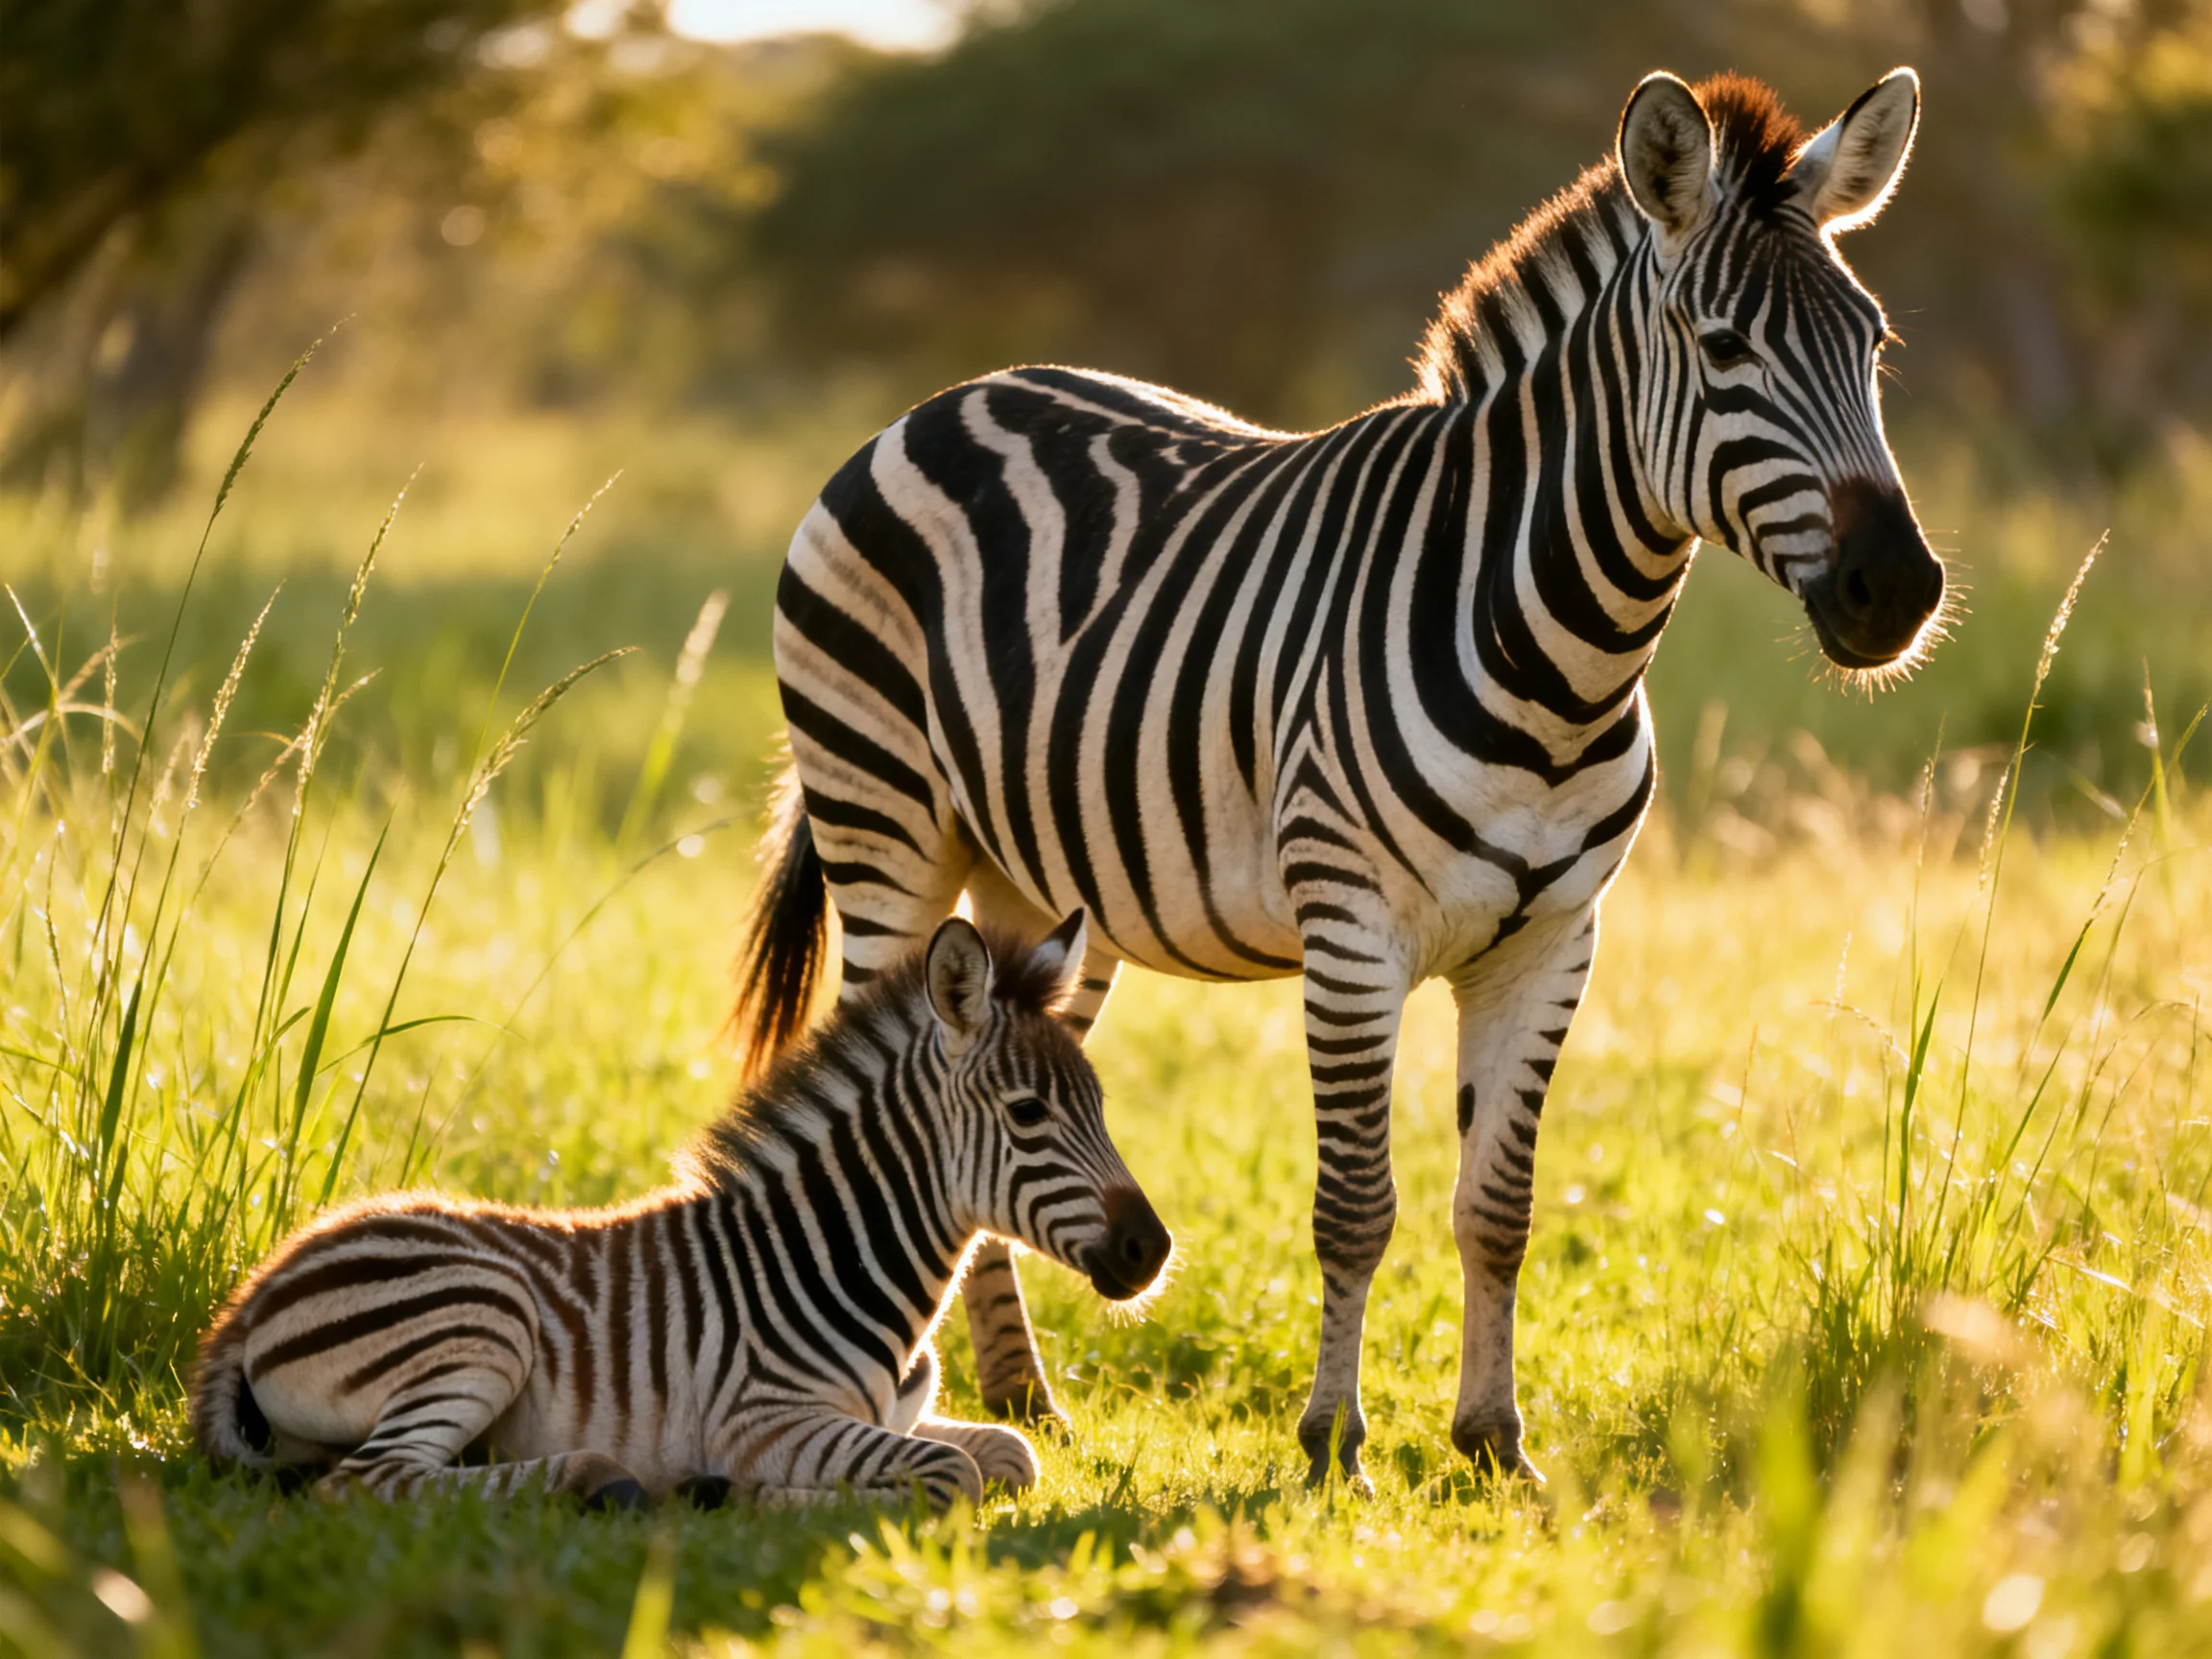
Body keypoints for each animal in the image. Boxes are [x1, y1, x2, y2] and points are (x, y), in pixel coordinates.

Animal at [191, 912, 1173, 1510]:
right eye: (1028, 1114)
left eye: (1099, 1107)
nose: (1153, 1251)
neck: (841, 1258)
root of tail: (254, 1291)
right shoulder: (765, 1419)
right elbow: (953, 1473)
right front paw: (755, 1497)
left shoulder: (889, 1414)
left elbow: (1010, 1452)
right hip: (480, 1320)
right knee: (368, 1482)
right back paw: (608, 1481)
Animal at [735, 67, 1945, 1489]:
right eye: (1720, 348)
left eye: (1874, 345)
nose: (1896, 590)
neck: (1556, 650)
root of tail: (942, 402)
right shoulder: (1352, 930)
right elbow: (1357, 1206)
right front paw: (1329, 1447)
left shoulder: (1554, 942)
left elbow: (1498, 1206)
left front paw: (1494, 1445)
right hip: (884, 825)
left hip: (1040, 895)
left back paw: (1028, 1398)